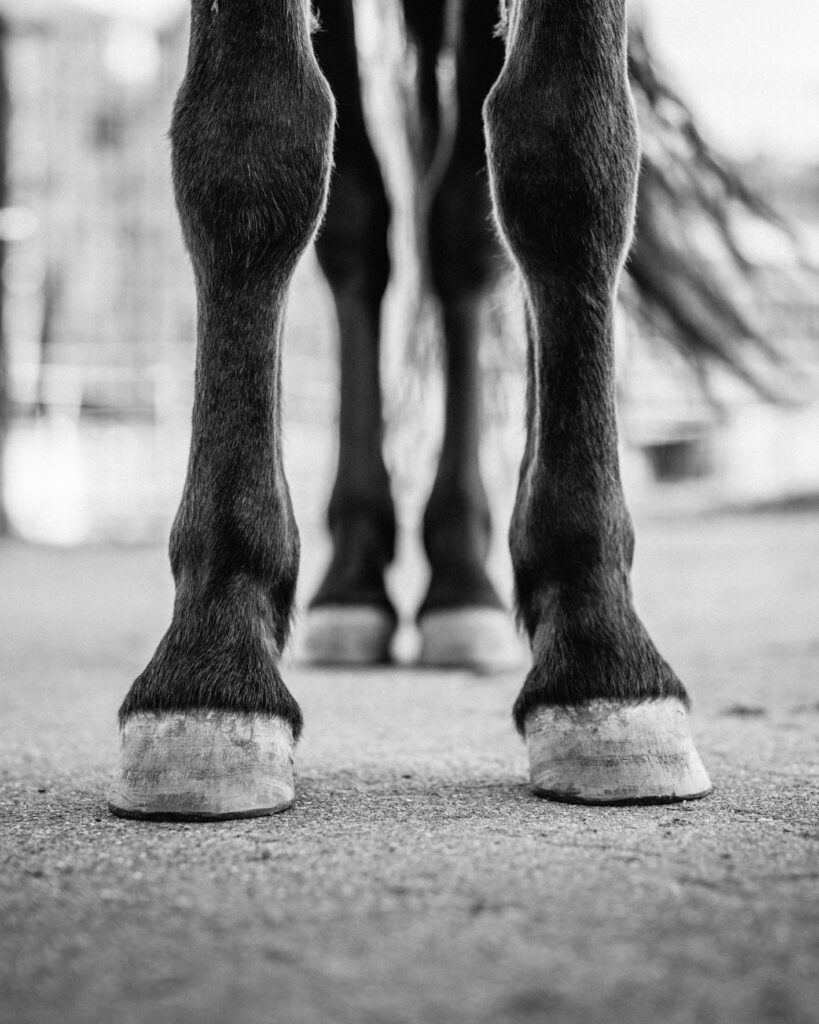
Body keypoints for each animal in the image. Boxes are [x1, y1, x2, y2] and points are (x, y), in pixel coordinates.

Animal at [108, 0, 711, 821]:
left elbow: (570, 145)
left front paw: (600, 650)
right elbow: (249, 138)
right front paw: (210, 660)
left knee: (459, 222)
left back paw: (463, 581)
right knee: (360, 217)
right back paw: (353, 582)